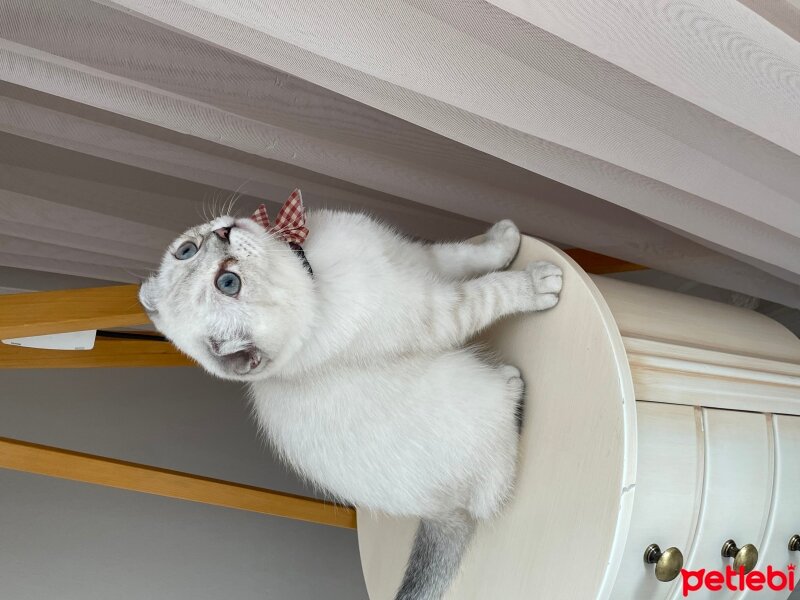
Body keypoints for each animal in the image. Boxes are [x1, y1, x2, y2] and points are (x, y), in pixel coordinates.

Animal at [139, 193, 564, 600]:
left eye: (187, 251)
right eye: (228, 284)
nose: (223, 232)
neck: (309, 268)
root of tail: (439, 512)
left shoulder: (413, 258)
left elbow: (465, 255)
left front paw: (505, 238)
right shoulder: (441, 310)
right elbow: (488, 291)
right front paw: (537, 282)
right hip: (468, 388)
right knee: (498, 469)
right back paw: (510, 382)